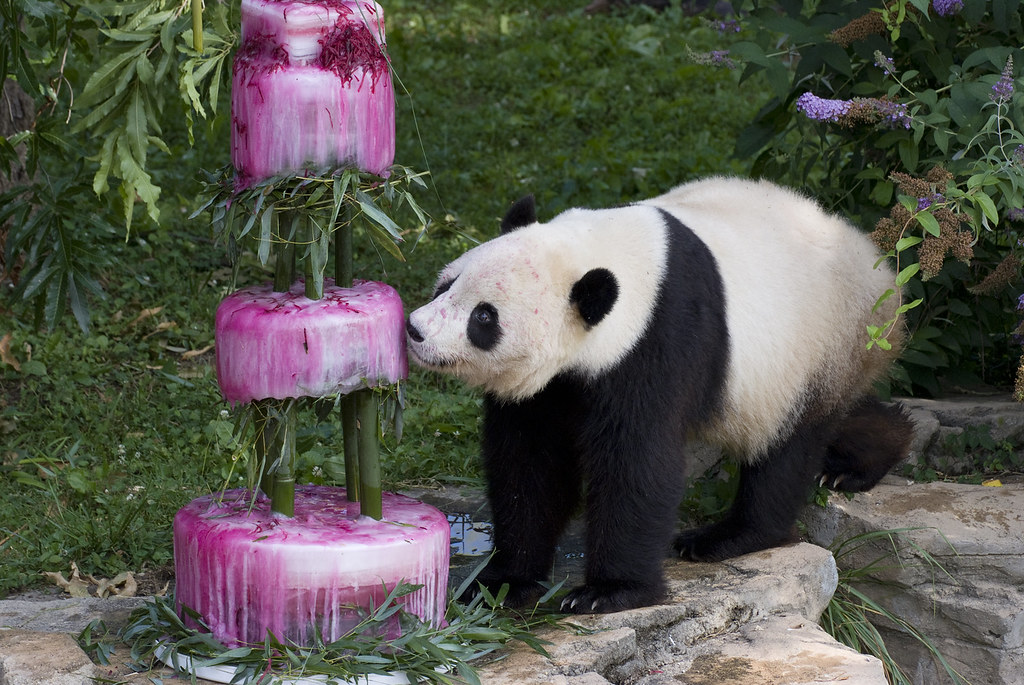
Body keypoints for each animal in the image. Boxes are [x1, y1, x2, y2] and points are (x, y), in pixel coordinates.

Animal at [403, 178, 917, 614]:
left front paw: (607, 592)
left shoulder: (659, 338)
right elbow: (529, 462)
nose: (415, 330)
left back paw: (729, 536)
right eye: (447, 284)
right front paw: (505, 582)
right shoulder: (552, 386)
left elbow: (637, 461)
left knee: (786, 448)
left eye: (483, 317)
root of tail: (886, 281)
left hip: (814, 345)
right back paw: (868, 457)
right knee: (840, 415)